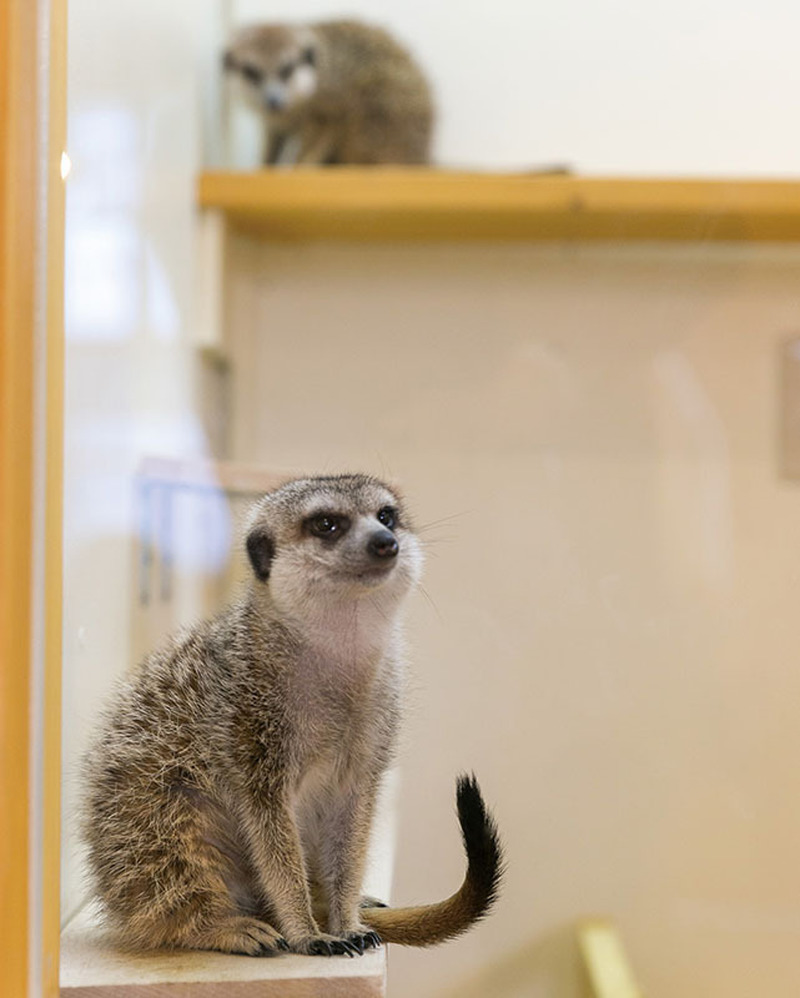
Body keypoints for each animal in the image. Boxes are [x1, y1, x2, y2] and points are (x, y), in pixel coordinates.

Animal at [82, 474, 502, 957]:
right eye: (326, 524)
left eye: (386, 516)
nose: (385, 542)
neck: (338, 655)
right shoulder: (248, 722)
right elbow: (270, 829)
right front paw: (306, 932)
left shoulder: (376, 730)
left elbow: (354, 822)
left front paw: (347, 920)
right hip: (147, 816)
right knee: (170, 862)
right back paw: (227, 926)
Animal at [222, 21, 434, 166]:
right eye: (251, 71)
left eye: (287, 69)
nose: (273, 100)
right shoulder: (275, 122)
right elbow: (274, 137)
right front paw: (265, 166)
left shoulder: (330, 100)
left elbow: (324, 130)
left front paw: (301, 165)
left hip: (382, 116)